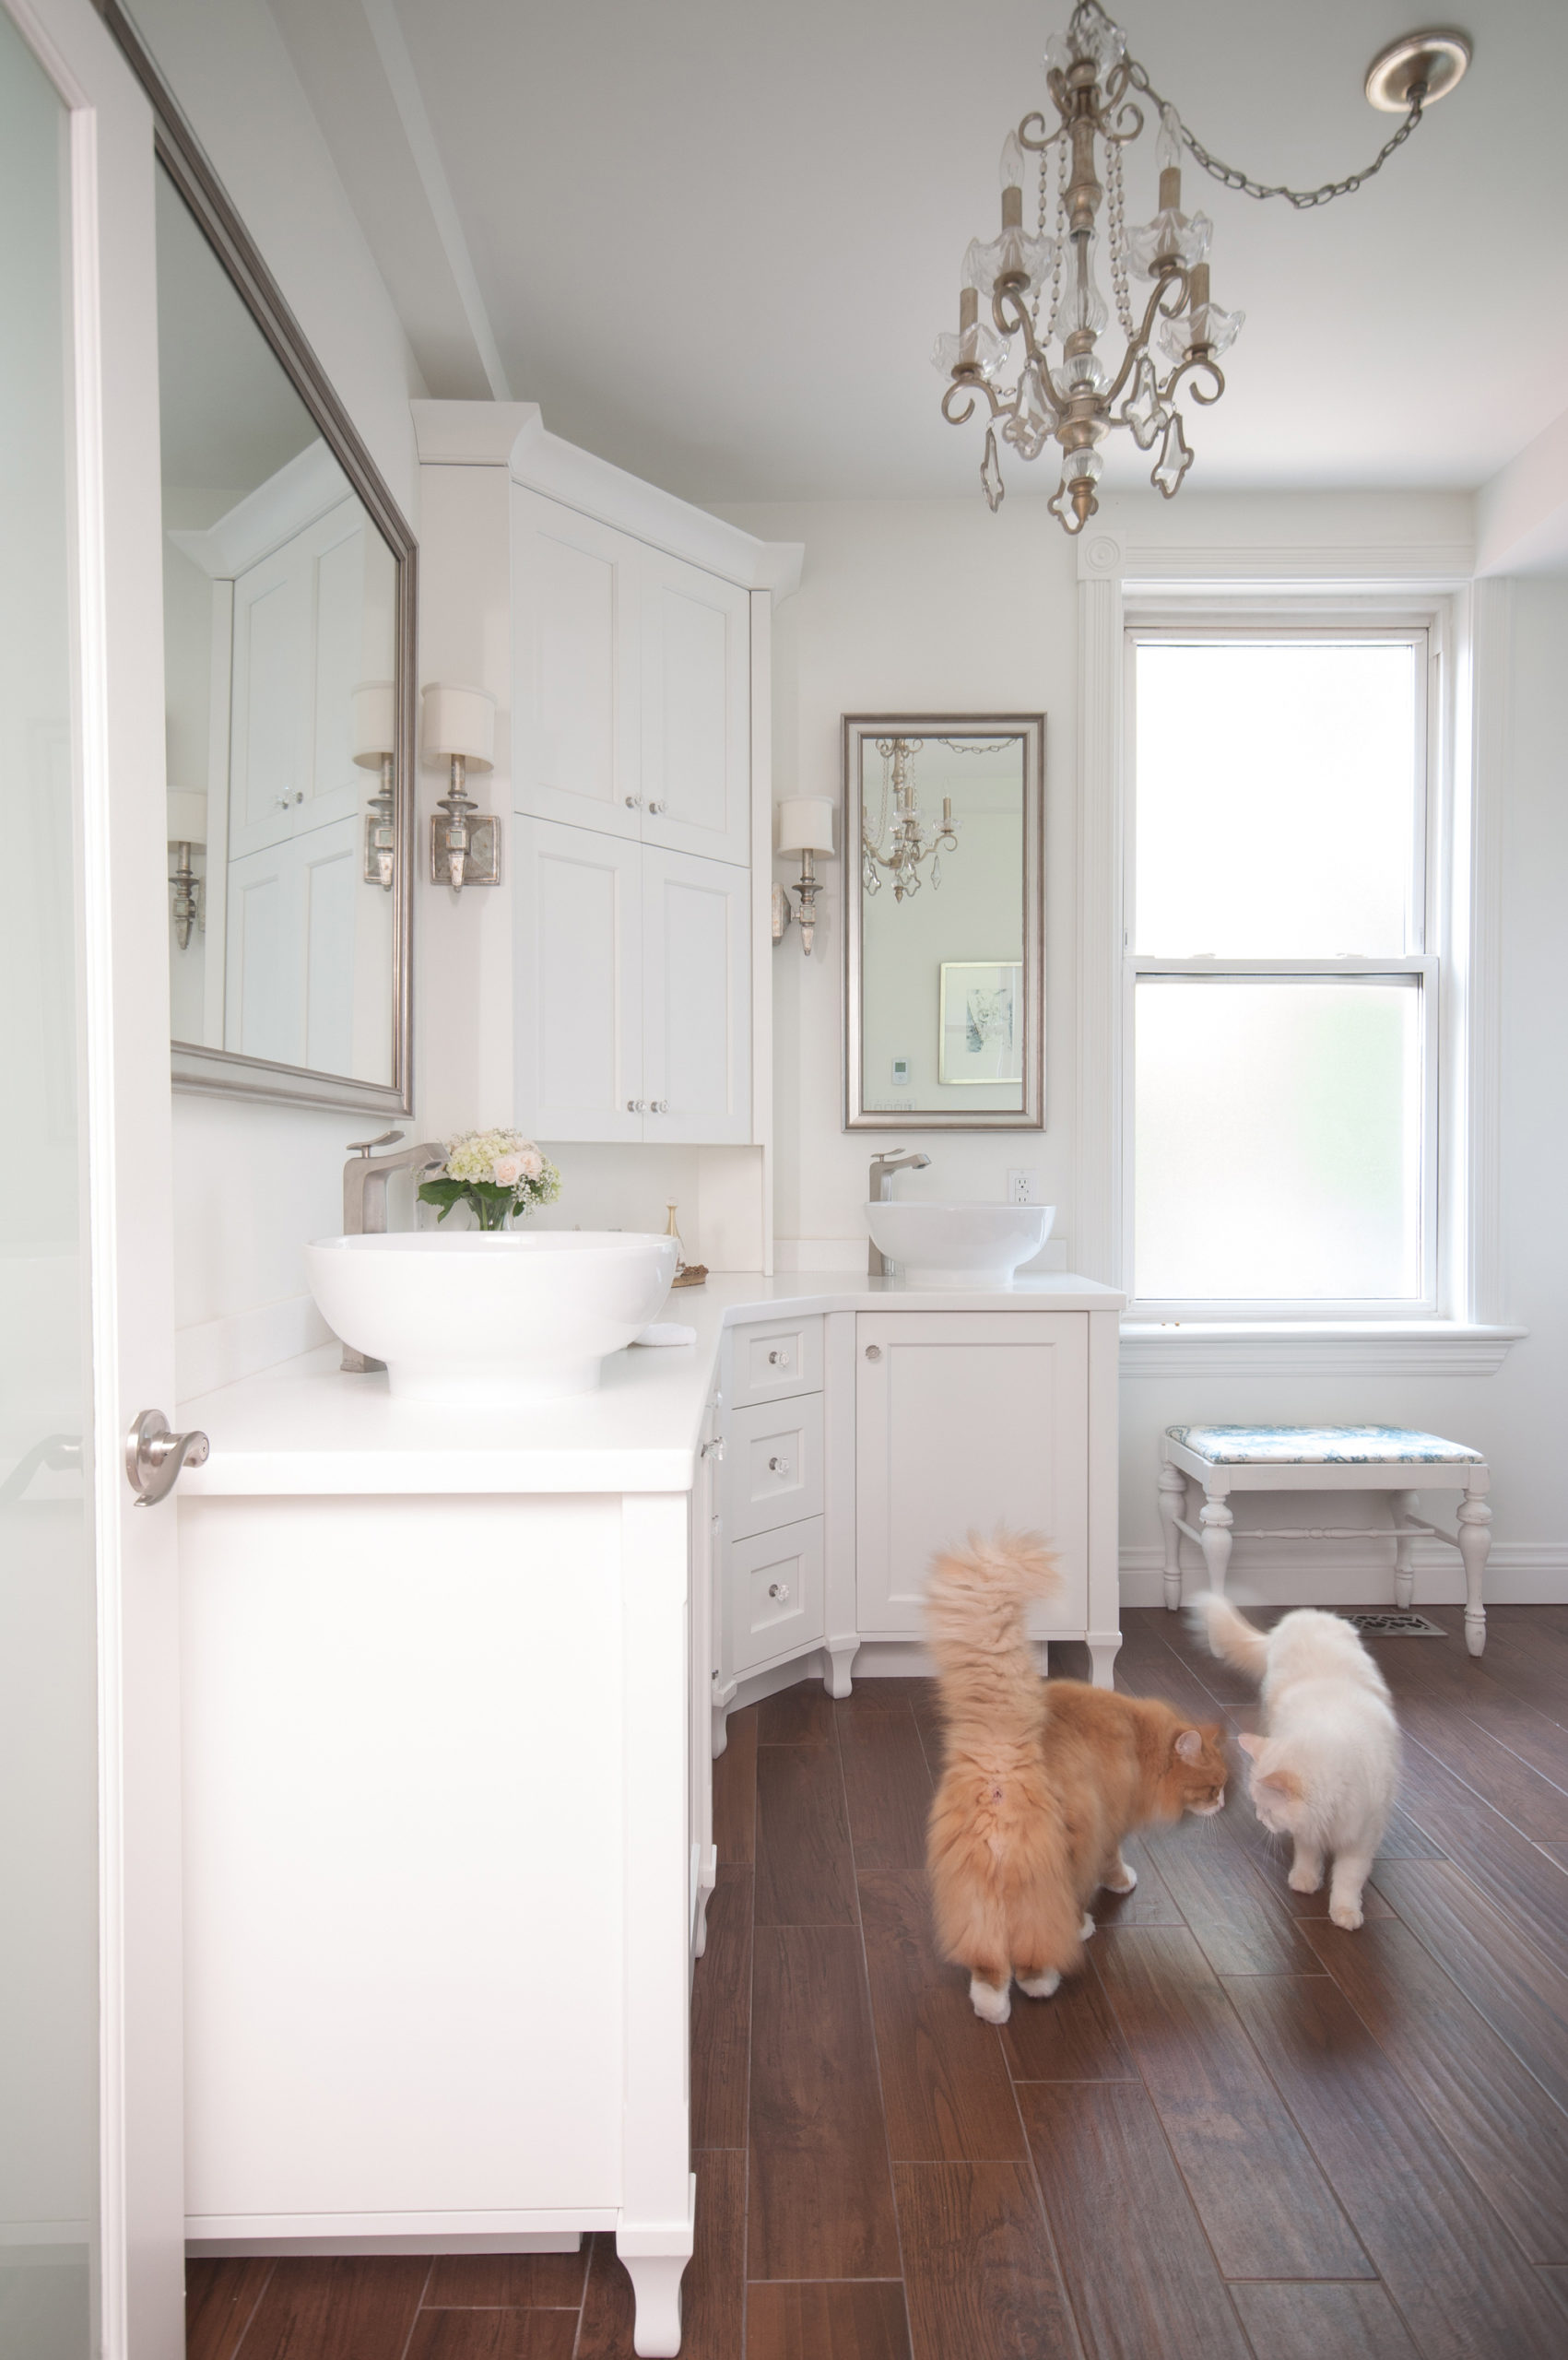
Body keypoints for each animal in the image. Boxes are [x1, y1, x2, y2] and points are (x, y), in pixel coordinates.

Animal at [925, 1539, 1228, 2020]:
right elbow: (1114, 1864)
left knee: (989, 1966)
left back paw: (992, 2008)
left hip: (977, 1890)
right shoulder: (1109, 1827)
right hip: (1050, 1873)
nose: (1222, 1804)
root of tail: (1004, 1761)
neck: (1139, 1738)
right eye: (1213, 1787)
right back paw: (1055, 1966)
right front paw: (1123, 1883)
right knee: (1033, 1956)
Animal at [1190, 1586, 1397, 1935]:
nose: (1260, 1819)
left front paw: (1345, 1913)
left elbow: (1348, 1878)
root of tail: (1305, 1615)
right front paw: (1305, 1880)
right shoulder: (1309, 1831)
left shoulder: (1362, 1836)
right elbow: (1308, 1854)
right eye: (1259, 1809)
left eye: (1268, 1810)